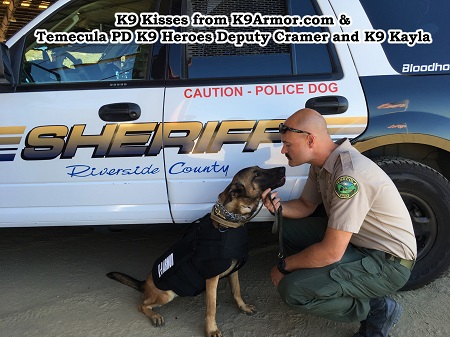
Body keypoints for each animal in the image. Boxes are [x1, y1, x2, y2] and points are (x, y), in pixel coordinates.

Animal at [106, 165, 284, 336]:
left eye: (260, 169)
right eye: (256, 174)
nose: (283, 168)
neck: (230, 222)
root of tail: (146, 281)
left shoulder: (234, 270)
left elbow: (237, 291)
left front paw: (243, 307)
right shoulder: (211, 278)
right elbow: (211, 307)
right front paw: (211, 329)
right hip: (166, 294)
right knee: (142, 305)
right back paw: (154, 316)